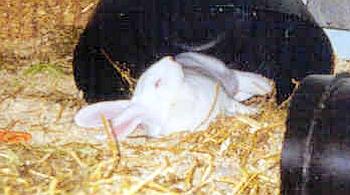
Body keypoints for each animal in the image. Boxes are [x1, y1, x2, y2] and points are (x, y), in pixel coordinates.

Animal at [74, 53, 274, 140]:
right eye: (158, 83)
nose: (170, 58)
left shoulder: (223, 97)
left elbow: (238, 107)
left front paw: (254, 112)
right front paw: (255, 112)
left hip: (221, 71)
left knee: (239, 80)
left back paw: (265, 84)